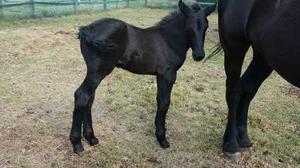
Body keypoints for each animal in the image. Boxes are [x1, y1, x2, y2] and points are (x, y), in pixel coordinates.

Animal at [70, 0, 216, 154]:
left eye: (206, 26)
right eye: (188, 26)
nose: (199, 55)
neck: (168, 40)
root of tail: (88, 29)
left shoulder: (160, 76)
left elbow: (160, 101)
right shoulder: (167, 75)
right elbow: (164, 103)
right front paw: (162, 138)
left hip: (95, 72)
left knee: (89, 98)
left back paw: (91, 138)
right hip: (99, 71)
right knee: (82, 96)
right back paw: (77, 143)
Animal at [218, 0, 300, 159]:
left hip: (264, 56)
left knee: (247, 89)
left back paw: (242, 138)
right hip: (234, 48)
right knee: (234, 93)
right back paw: (231, 144)